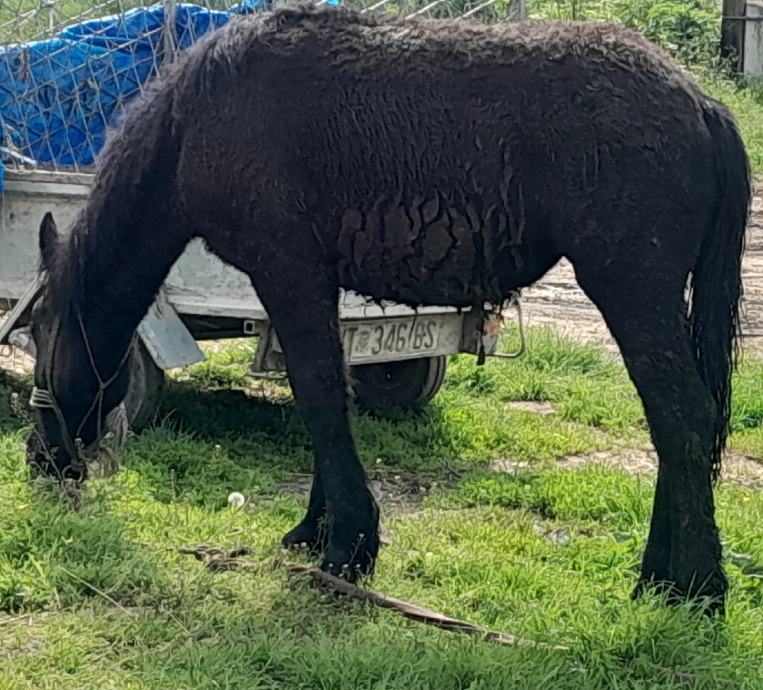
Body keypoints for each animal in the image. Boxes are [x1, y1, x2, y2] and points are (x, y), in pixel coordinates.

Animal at [25, 6, 752, 612]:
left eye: (34, 334)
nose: (41, 460)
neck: (193, 121)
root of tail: (702, 105)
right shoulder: (308, 284)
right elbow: (328, 393)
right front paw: (319, 528)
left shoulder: (286, 270)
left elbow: (319, 396)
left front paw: (348, 544)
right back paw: (664, 574)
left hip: (632, 290)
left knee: (681, 417)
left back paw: (694, 586)